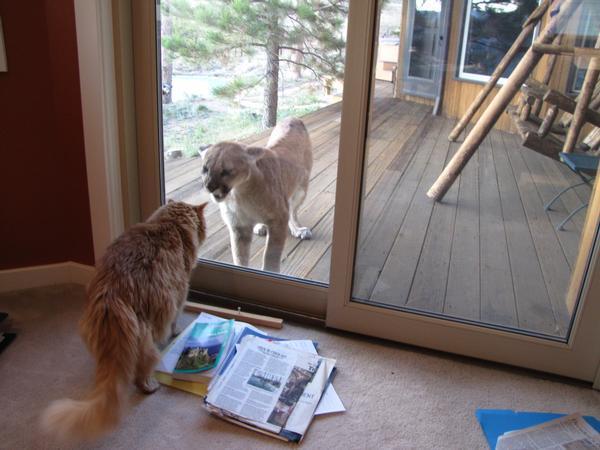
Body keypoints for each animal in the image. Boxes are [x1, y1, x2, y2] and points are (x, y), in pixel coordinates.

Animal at [40, 200, 209, 440]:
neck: (171, 224)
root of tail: (112, 295)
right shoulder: (180, 291)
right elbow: (176, 319)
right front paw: (176, 332)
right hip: (148, 336)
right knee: (142, 370)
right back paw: (150, 386)